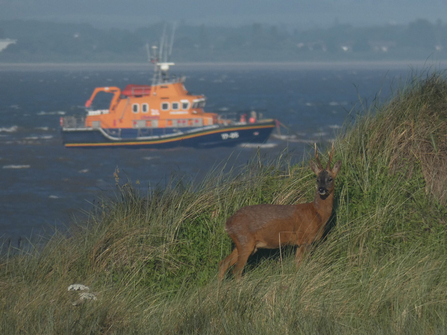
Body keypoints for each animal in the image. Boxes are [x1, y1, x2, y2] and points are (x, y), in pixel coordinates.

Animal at [220, 144, 344, 280]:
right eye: (317, 179)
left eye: (330, 179)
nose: (321, 189)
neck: (317, 214)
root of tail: (227, 224)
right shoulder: (305, 239)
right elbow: (301, 265)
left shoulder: (300, 243)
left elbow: (297, 265)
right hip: (245, 241)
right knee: (236, 271)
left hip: (241, 244)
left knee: (223, 263)